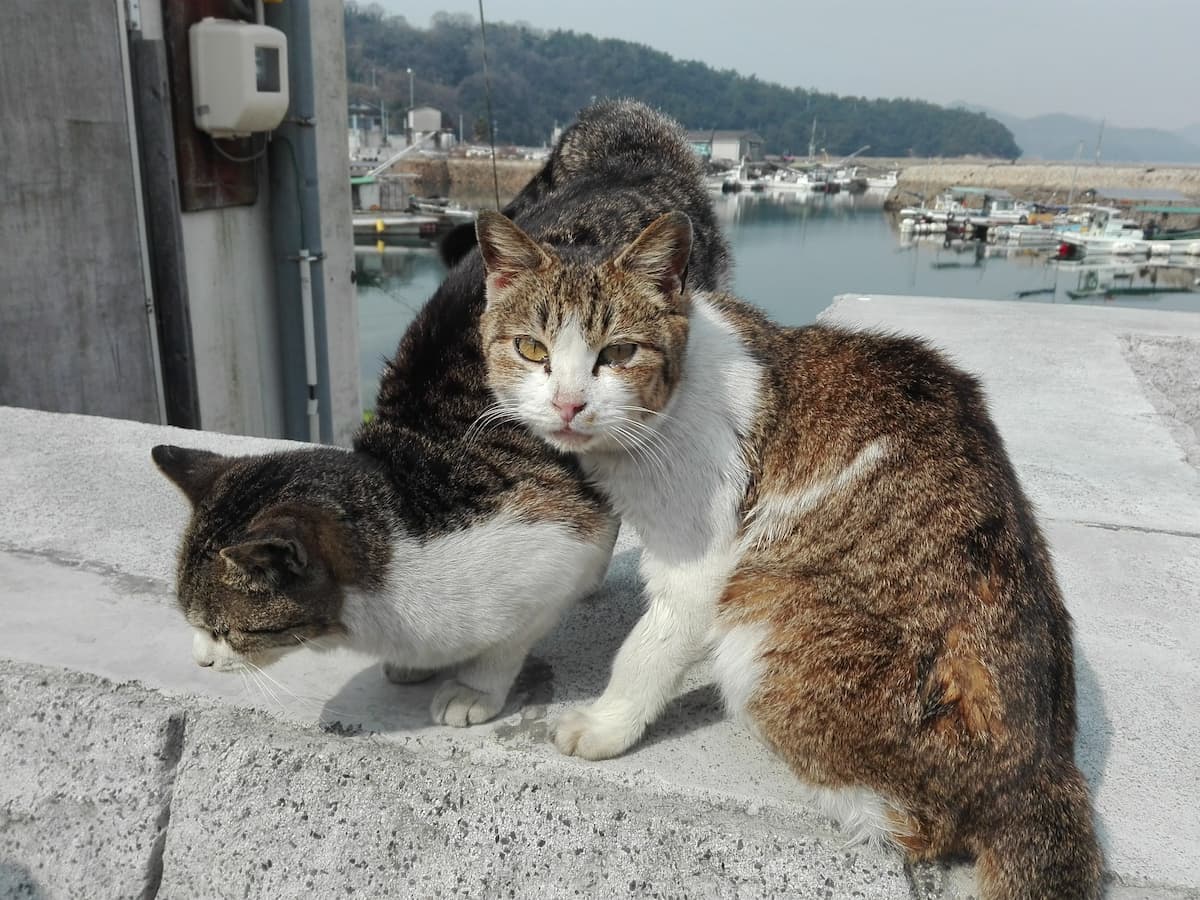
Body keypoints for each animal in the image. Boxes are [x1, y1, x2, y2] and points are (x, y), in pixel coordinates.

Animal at [150, 100, 729, 734]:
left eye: (224, 629)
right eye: (194, 622)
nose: (201, 661)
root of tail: (628, 145)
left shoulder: (553, 552)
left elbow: (509, 640)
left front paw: (475, 687)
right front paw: (414, 665)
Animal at [475, 207, 1104, 897]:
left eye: (618, 352)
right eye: (532, 349)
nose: (568, 404)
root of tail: (1044, 773)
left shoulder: (701, 563)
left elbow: (646, 651)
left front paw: (606, 726)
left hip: (762, 607)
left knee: (916, 827)